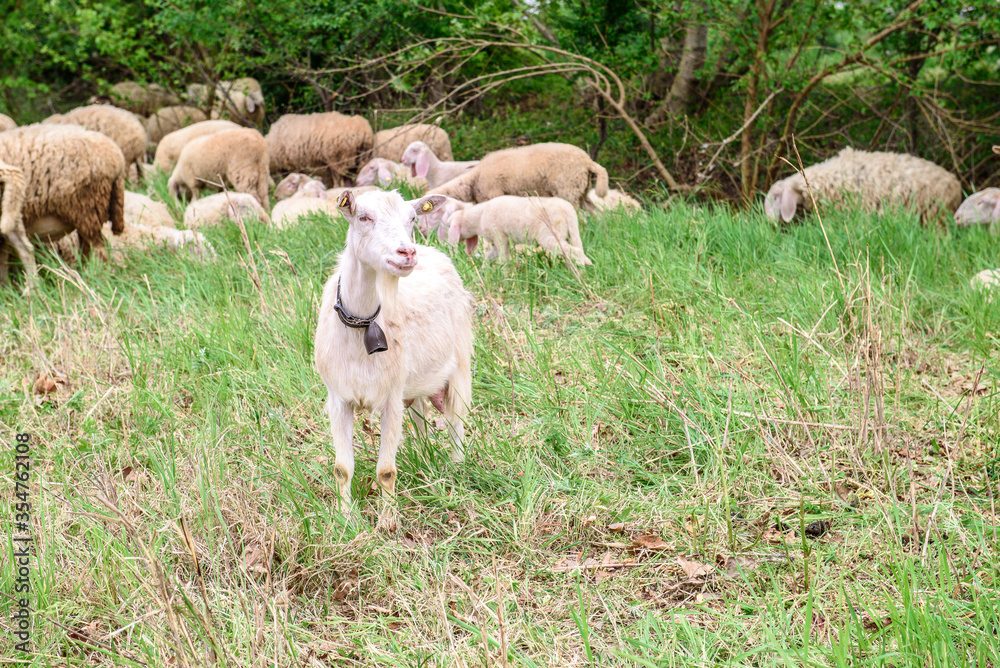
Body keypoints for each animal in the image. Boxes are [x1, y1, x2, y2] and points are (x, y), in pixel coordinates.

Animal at [0, 124, 125, 287]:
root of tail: (118, 158)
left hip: (88, 207)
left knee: (100, 249)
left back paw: (98, 280)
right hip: (88, 215)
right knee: (87, 248)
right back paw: (83, 275)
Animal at [313, 189, 473, 529]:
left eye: (412, 219)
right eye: (363, 217)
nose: (407, 252)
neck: (363, 324)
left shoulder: (390, 396)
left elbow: (386, 471)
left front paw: (387, 522)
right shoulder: (338, 397)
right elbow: (341, 468)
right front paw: (346, 520)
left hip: (460, 363)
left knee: (456, 420)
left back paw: (457, 469)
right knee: (421, 416)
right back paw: (425, 460)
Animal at [426, 195, 592, 265]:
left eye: (448, 225)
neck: (479, 216)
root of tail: (568, 210)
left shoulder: (499, 236)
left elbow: (503, 258)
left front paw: (504, 275)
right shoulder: (498, 241)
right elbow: (490, 256)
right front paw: (485, 268)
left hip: (549, 235)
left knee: (574, 252)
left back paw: (582, 269)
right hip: (571, 234)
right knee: (575, 251)